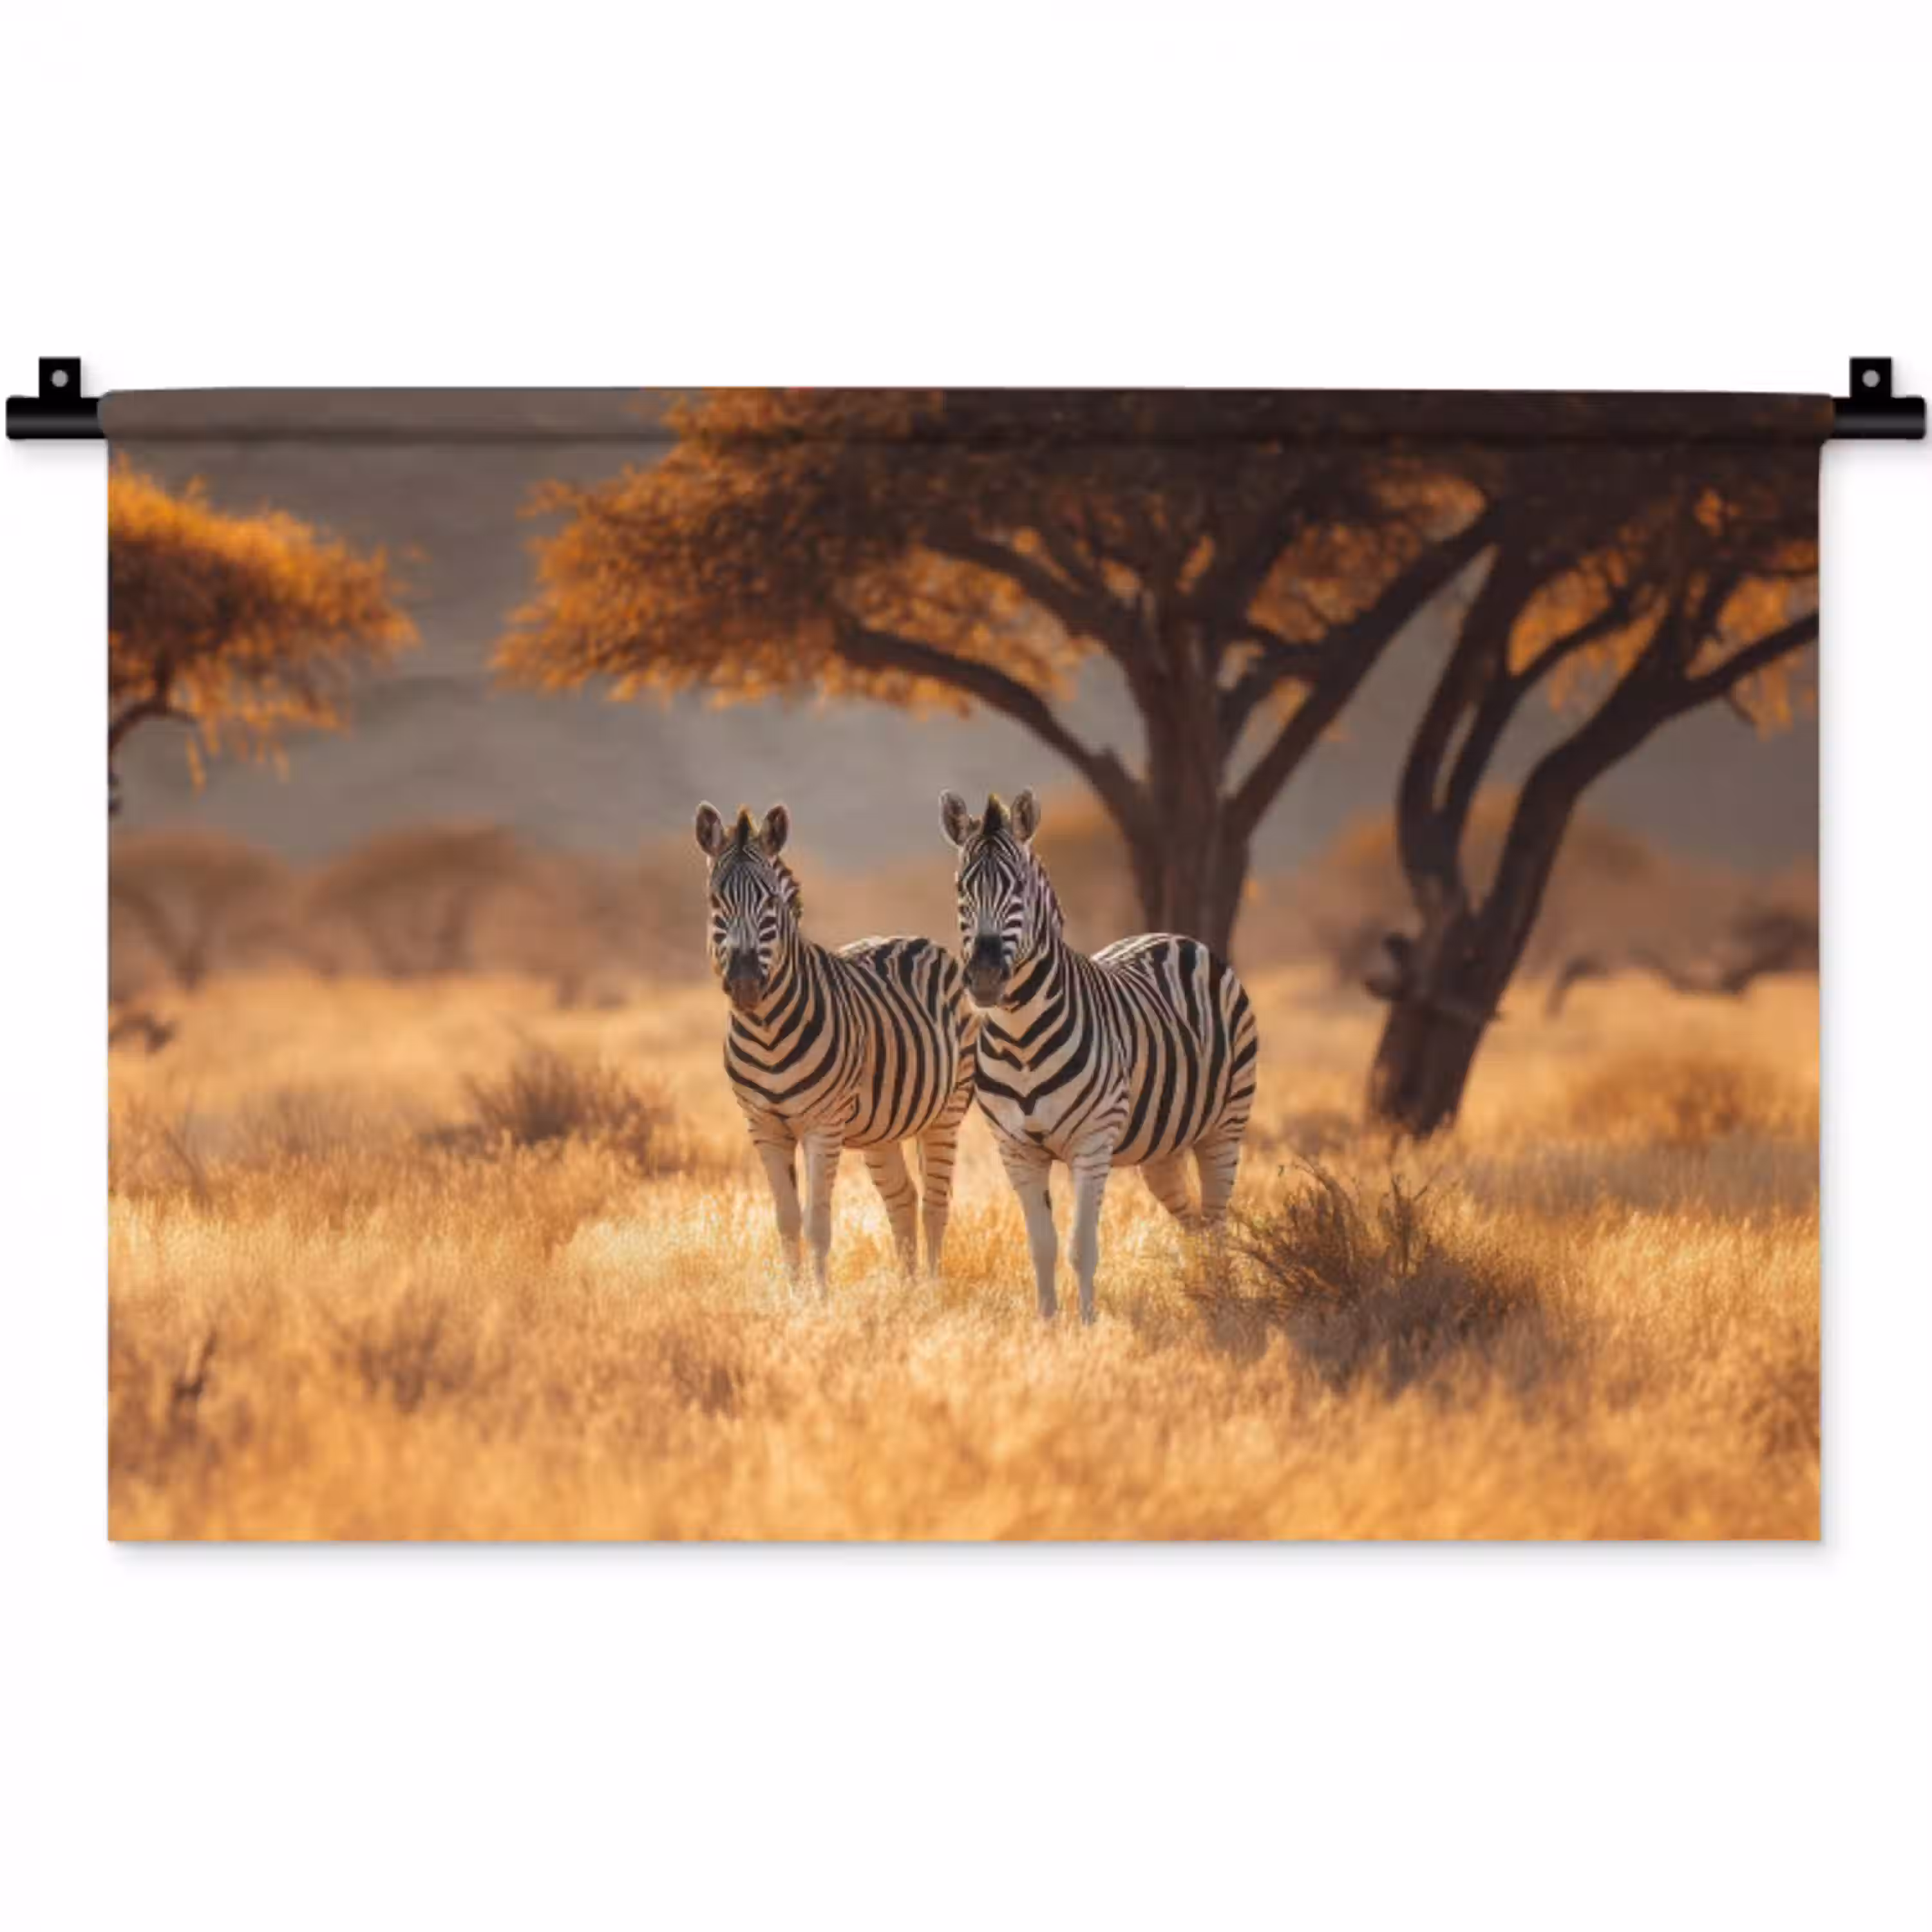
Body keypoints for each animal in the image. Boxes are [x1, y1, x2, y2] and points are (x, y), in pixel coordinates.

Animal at [695, 801, 978, 1291]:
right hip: (881, 1128)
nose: (746, 985)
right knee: (903, 1198)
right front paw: (794, 1298)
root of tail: (914, 939)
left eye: (771, 902)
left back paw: (930, 1291)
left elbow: (817, 1224)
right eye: (716, 901)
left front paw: (821, 1302)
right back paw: (905, 1292)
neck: (766, 1034)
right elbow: (787, 1221)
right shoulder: (763, 1126)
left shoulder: (822, 1125)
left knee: (935, 1205)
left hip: (947, 1109)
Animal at [940, 787, 1259, 1322]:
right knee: (1193, 1219)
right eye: (962, 889)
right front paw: (1047, 1325)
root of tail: (1176, 937)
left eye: (1018, 888)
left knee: (1215, 1220)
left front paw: (1088, 1327)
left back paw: (1223, 1301)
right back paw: (1200, 1290)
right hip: (1163, 1148)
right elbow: (1042, 1246)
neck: (1021, 1039)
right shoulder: (1016, 1150)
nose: (983, 978)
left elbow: (1081, 1248)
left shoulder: (1091, 1144)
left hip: (1225, 1126)